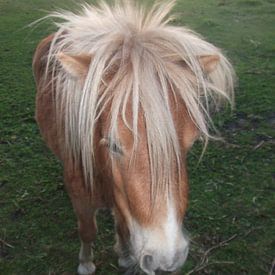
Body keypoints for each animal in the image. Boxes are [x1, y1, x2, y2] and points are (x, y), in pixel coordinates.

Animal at [32, 1, 235, 274]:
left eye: (191, 143)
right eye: (113, 144)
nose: (167, 258)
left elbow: (123, 225)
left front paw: (126, 255)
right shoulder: (81, 195)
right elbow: (87, 230)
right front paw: (86, 263)